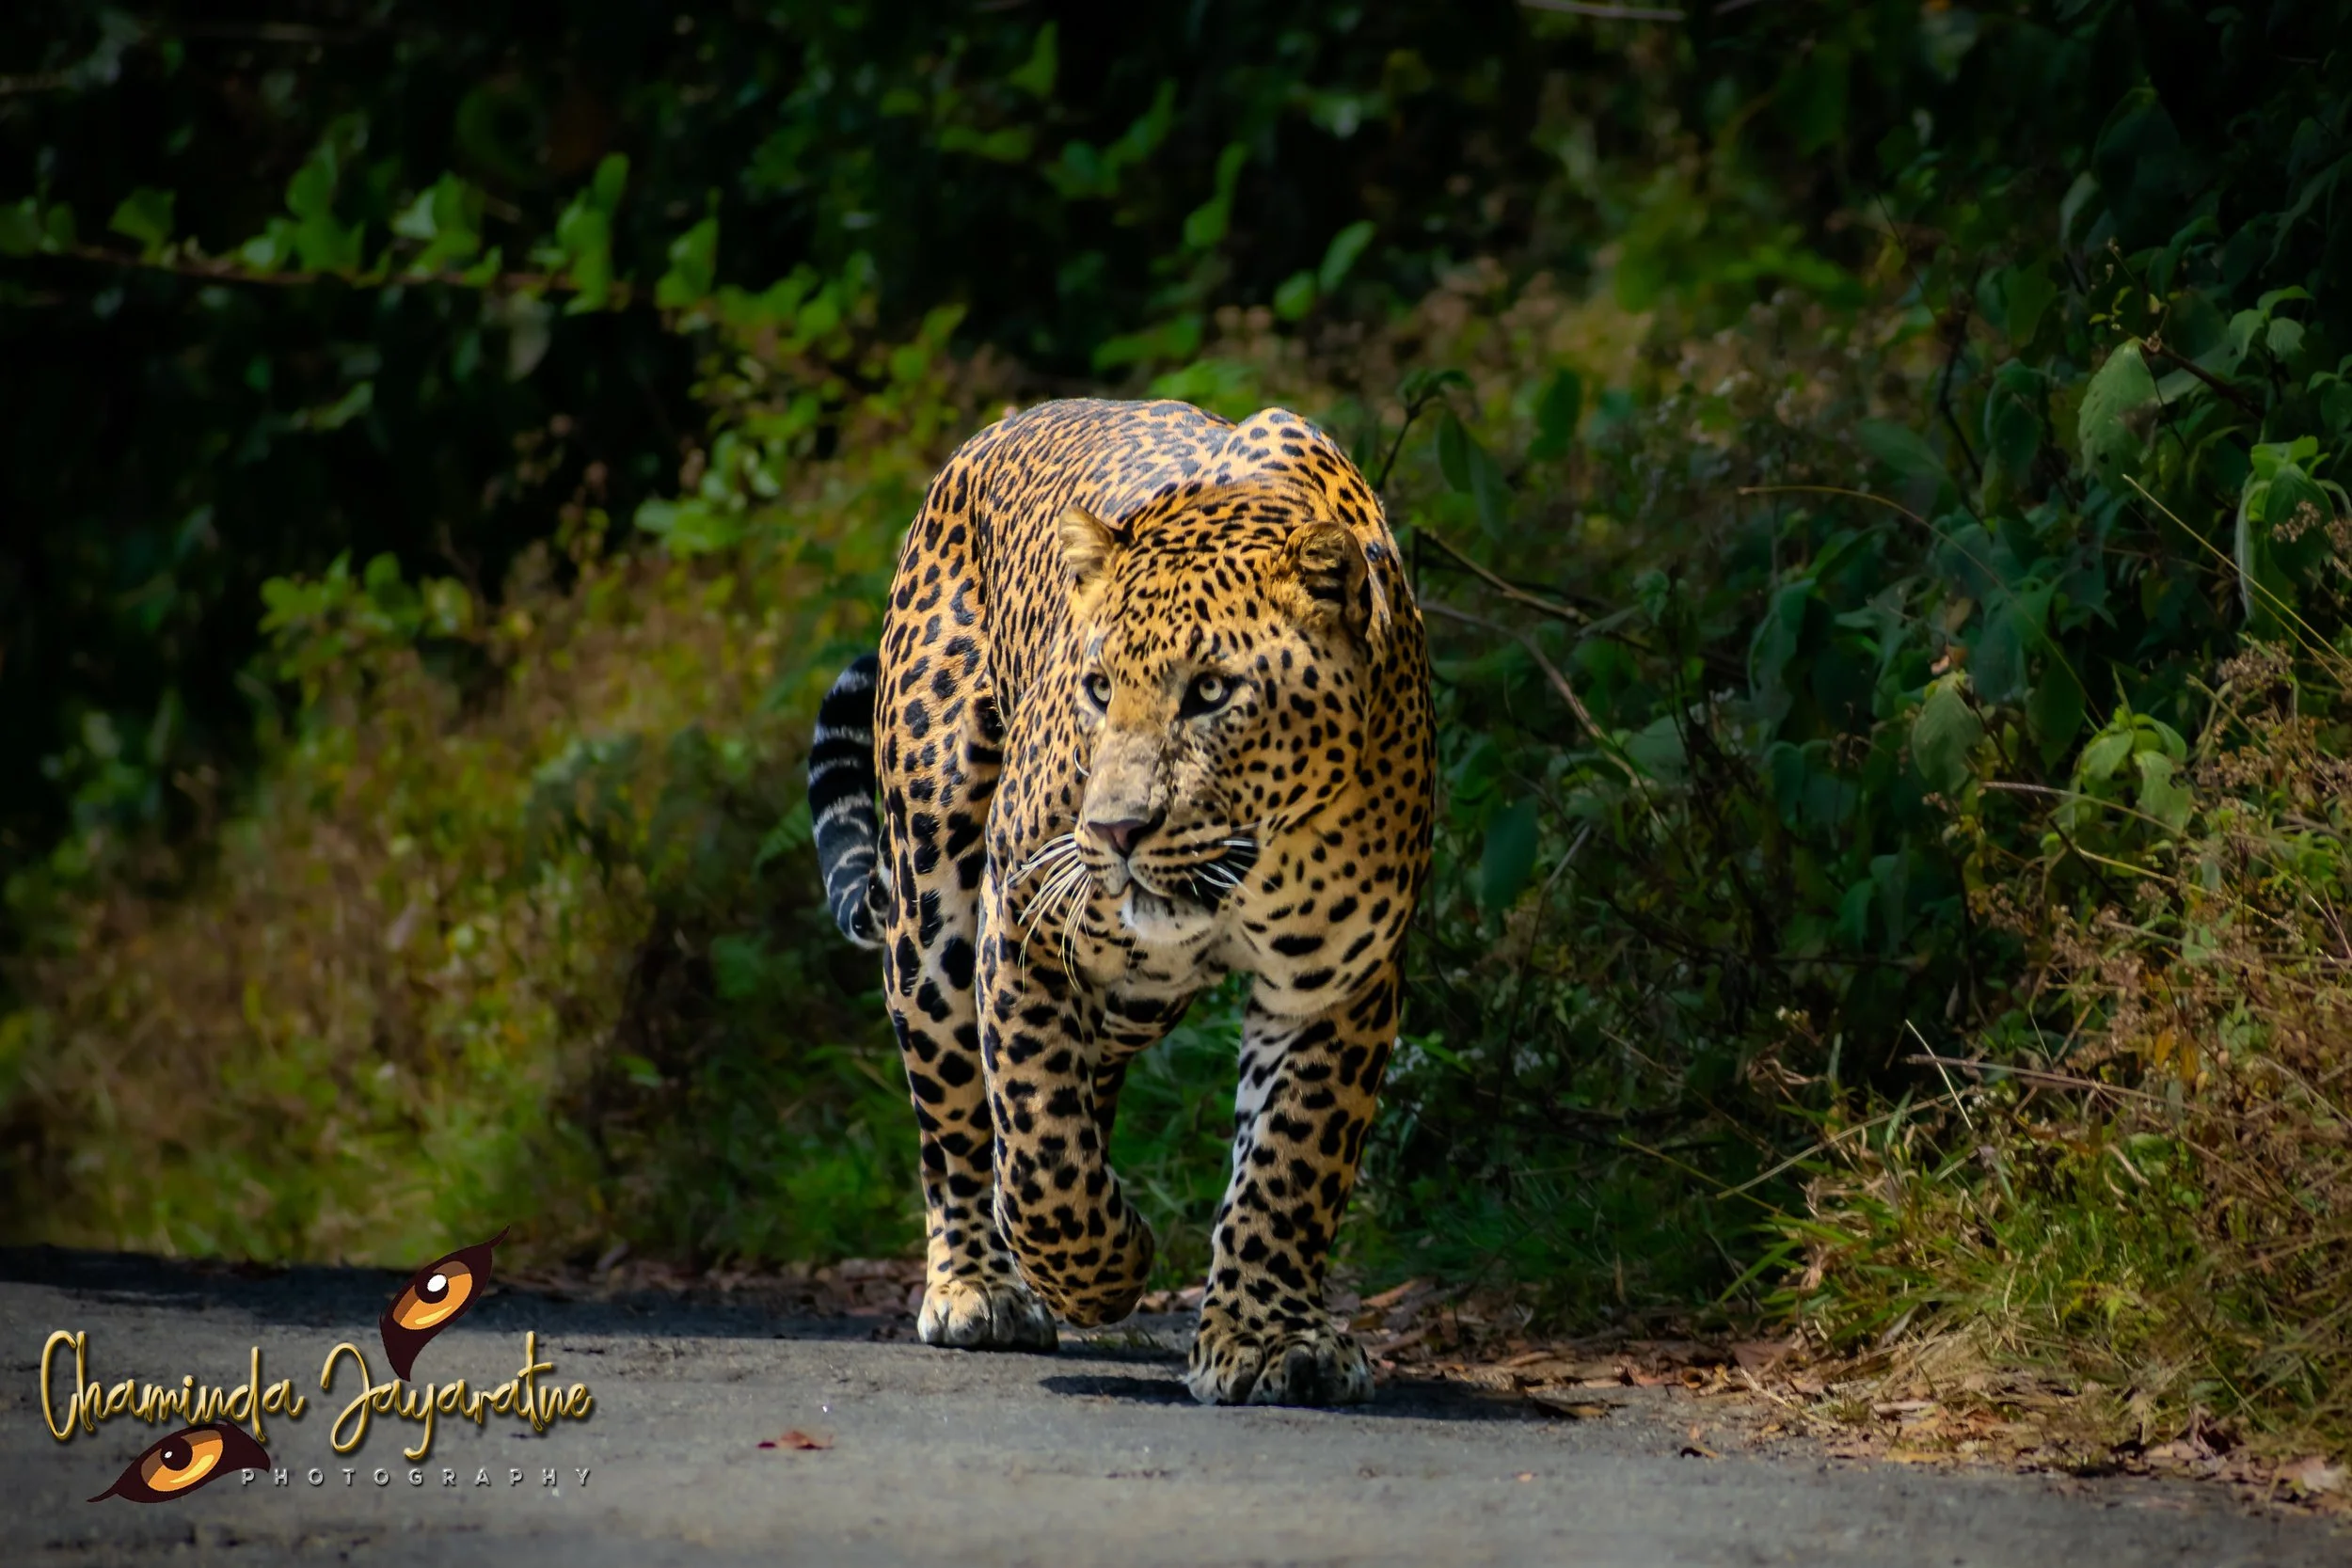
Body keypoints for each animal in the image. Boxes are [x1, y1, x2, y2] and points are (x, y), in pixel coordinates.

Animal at [808, 397, 1433, 1405]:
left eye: (1211, 691)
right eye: (1098, 688)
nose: (1114, 831)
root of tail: (996, 428)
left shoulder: (1338, 982)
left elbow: (1291, 1161)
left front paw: (1269, 1336)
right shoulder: (1020, 922)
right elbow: (1036, 1138)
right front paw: (1102, 1268)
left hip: (1143, 996)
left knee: (1090, 1073)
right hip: (932, 910)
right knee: (957, 1116)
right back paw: (980, 1285)